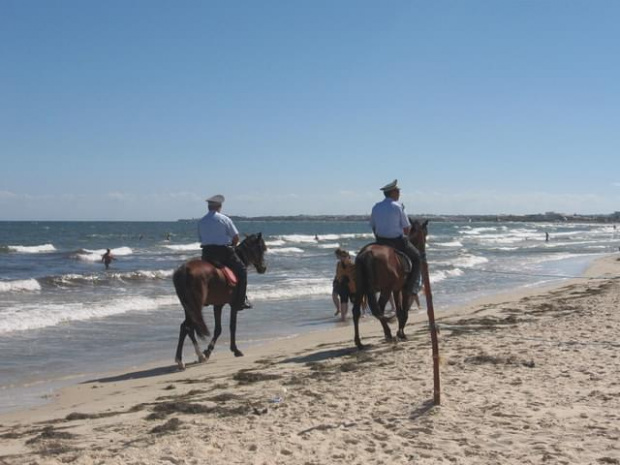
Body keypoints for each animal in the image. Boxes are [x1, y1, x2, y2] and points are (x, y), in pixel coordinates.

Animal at [172, 234, 266, 368]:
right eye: (261, 248)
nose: (263, 268)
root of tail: (185, 270)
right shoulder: (233, 305)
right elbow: (231, 327)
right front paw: (234, 350)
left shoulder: (218, 305)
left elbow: (218, 329)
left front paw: (207, 352)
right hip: (195, 305)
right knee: (187, 327)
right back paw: (183, 360)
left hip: (189, 306)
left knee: (187, 328)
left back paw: (195, 356)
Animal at [352, 218, 428, 348]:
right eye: (425, 234)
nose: (422, 254)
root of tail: (367, 253)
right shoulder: (403, 289)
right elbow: (403, 310)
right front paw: (401, 334)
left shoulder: (396, 289)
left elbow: (398, 310)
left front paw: (400, 332)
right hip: (385, 290)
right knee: (379, 309)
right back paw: (388, 334)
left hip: (361, 289)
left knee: (357, 311)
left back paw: (359, 342)